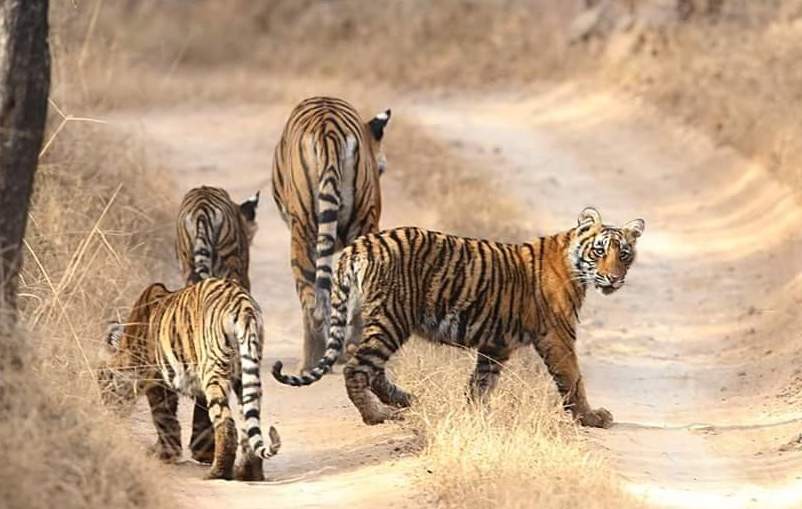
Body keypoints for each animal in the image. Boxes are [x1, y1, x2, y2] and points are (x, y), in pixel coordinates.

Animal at [97, 277, 280, 481]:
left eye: (100, 380)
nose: (105, 406)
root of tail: (243, 305)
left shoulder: (157, 380)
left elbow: (163, 417)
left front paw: (165, 454)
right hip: (245, 371)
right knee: (248, 420)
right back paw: (248, 473)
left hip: (215, 369)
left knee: (226, 423)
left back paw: (217, 473)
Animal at [271, 96, 391, 371]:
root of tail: (329, 129)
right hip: (362, 223)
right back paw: (349, 349)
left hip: (303, 232)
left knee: (311, 301)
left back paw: (312, 360)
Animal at [272, 208, 645, 428]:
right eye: (600, 251)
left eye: (624, 254)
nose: (613, 279)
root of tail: (360, 244)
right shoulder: (558, 336)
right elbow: (573, 379)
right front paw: (591, 417)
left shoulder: (496, 345)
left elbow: (481, 382)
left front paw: (475, 414)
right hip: (392, 318)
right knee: (356, 365)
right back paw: (377, 415)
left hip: (375, 318)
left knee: (365, 363)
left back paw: (404, 400)